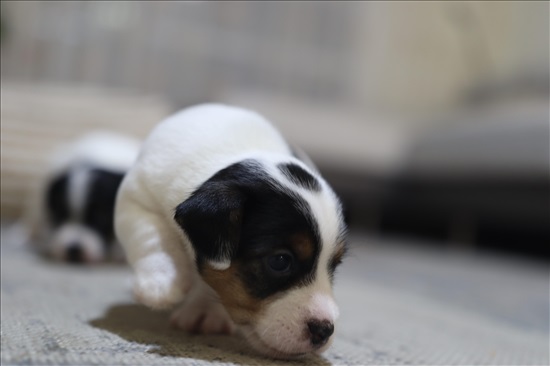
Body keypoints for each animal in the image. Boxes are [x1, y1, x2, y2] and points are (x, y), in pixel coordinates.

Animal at [115, 103, 350, 358]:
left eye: (334, 265)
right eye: (280, 261)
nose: (324, 330)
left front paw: (205, 310)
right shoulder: (136, 198)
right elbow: (151, 236)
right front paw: (160, 282)